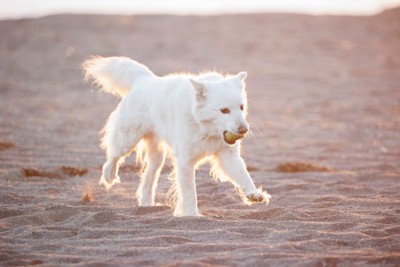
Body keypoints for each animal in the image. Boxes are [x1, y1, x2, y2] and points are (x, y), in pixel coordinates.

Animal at [84, 57, 272, 218]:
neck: (204, 127)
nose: (244, 130)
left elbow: (242, 174)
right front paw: (191, 215)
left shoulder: (227, 155)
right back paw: (109, 176)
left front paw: (253, 194)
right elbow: (189, 193)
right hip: (128, 139)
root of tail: (143, 79)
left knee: (148, 179)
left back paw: (146, 204)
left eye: (241, 107)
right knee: (113, 155)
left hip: (157, 156)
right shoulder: (185, 162)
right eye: (224, 110)